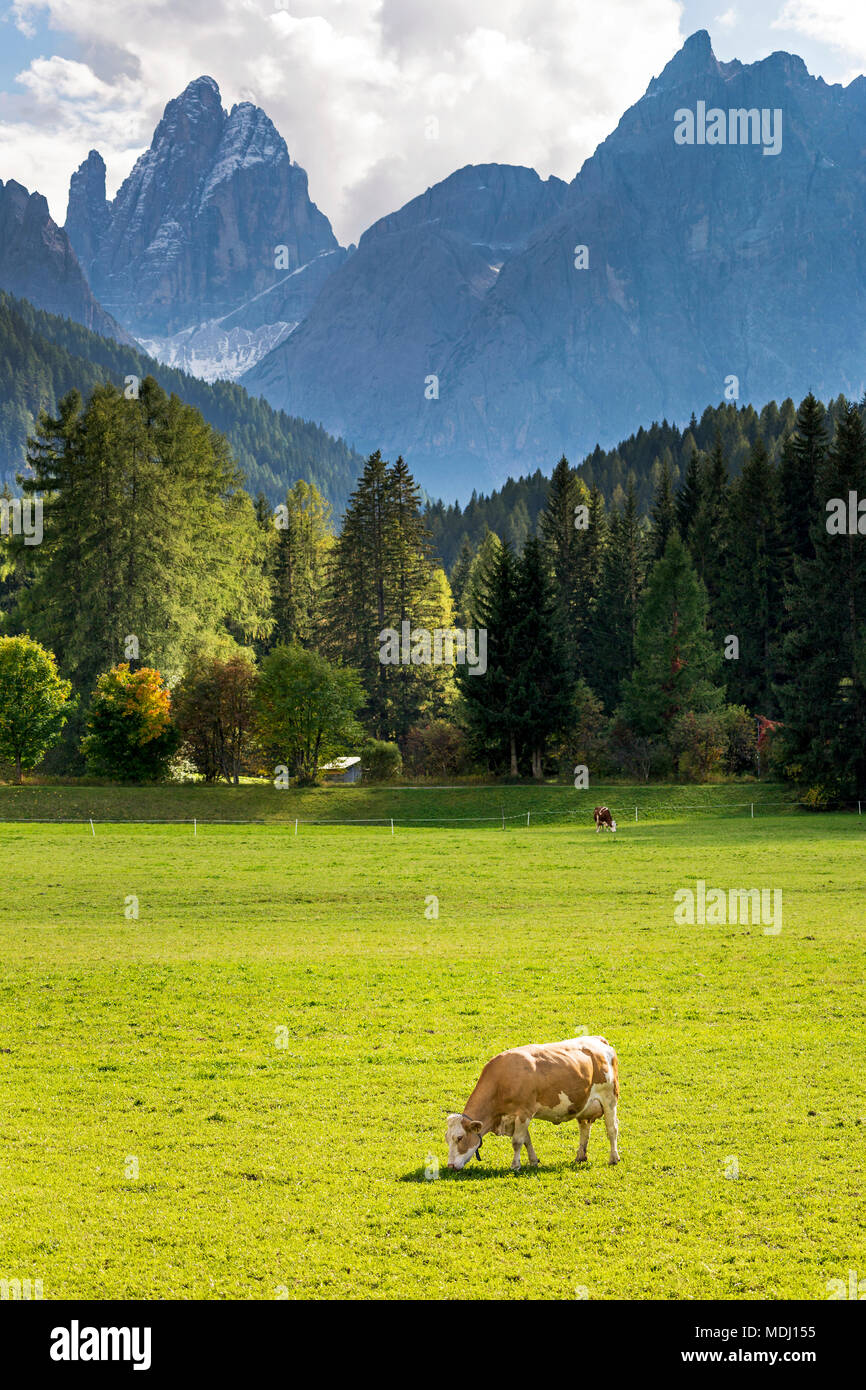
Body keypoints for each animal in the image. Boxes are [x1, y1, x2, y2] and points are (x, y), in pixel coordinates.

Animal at [444, 1034, 619, 1173]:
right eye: (447, 1139)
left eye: (460, 1138)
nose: (450, 1166)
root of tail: (597, 1039)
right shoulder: (516, 1117)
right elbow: (526, 1140)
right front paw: (533, 1161)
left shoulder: (524, 1113)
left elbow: (517, 1141)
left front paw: (515, 1166)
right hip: (583, 1105)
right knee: (584, 1129)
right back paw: (580, 1156)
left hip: (610, 1099)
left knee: (612, 1129)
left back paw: (614, 1158)